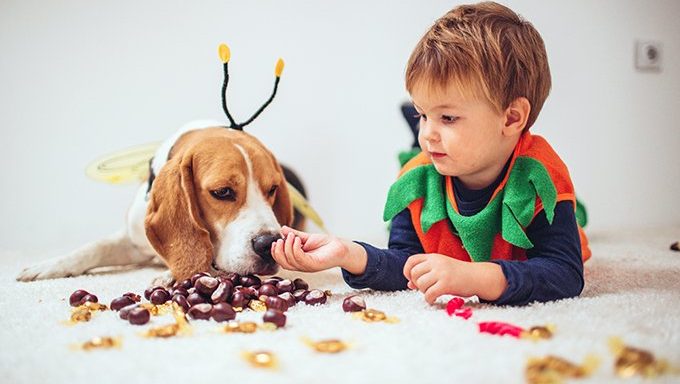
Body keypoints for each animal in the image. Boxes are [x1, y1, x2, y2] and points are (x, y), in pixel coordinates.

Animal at [17, 120, 294, 284]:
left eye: (272, 189)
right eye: (222, 192)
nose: (269, 244)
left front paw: (170, 275)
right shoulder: (133, 241)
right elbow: (94, 247)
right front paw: (50, 265)